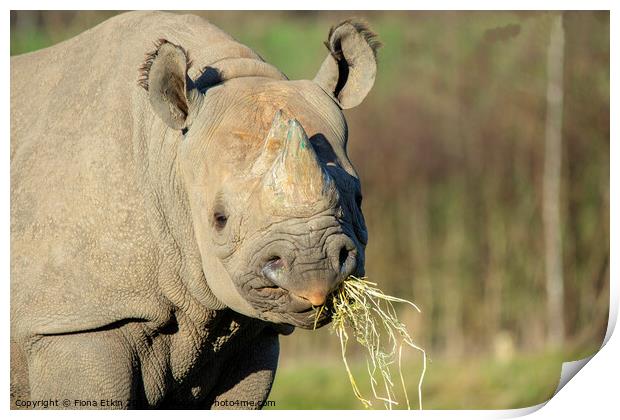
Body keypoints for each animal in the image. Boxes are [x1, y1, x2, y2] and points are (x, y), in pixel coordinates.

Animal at [9, 11, 378, 408]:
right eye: (219, 219)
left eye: (358, 199)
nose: (314, 272)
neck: (168, 154)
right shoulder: (74, 323)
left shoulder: (254, 337)